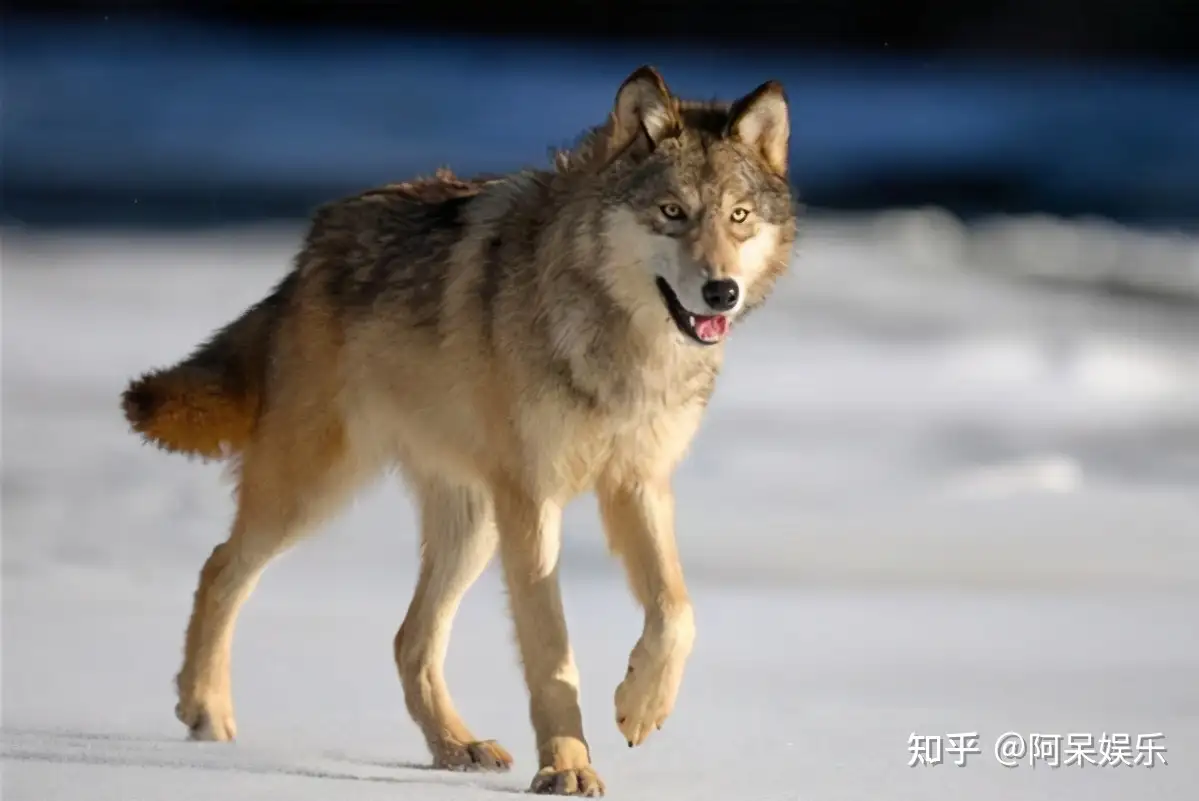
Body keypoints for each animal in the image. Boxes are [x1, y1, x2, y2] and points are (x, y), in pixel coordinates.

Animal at [119, 64, 796, 796]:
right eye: (672, 213)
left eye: (738, 217)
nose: (722, 291)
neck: (620, 342)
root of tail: (309, 249)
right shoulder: (533, 501)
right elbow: (552, 650)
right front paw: (567, 764)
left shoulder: (636, 483)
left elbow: (677, 612)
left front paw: (639, 706)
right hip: (317, 492)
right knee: (220, 567)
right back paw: (206, 710)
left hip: (471, 524)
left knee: (407, 637)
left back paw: (455, 744)